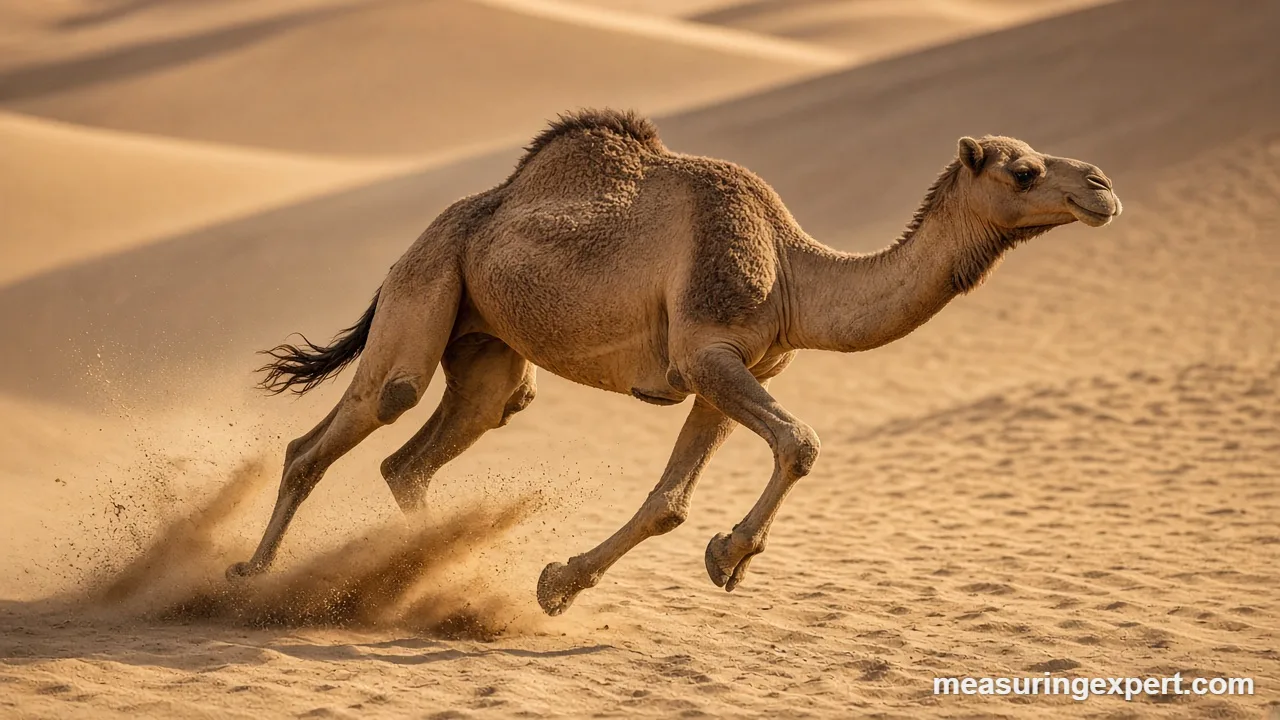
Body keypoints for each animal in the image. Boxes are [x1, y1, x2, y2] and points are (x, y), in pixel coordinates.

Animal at [227, 108, 1121, 616]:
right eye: (1024, 170)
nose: (1103, 186)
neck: (793, 272)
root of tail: (410, 249)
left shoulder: (735, 370)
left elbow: (670, 501)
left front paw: (559, 583)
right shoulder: (708, 350)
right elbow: (800, 442)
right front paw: (730, 557)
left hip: (487, 348)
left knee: (422, 453)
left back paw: (418, 573)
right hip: (424, 292)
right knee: (346, 425)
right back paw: (252, 577)